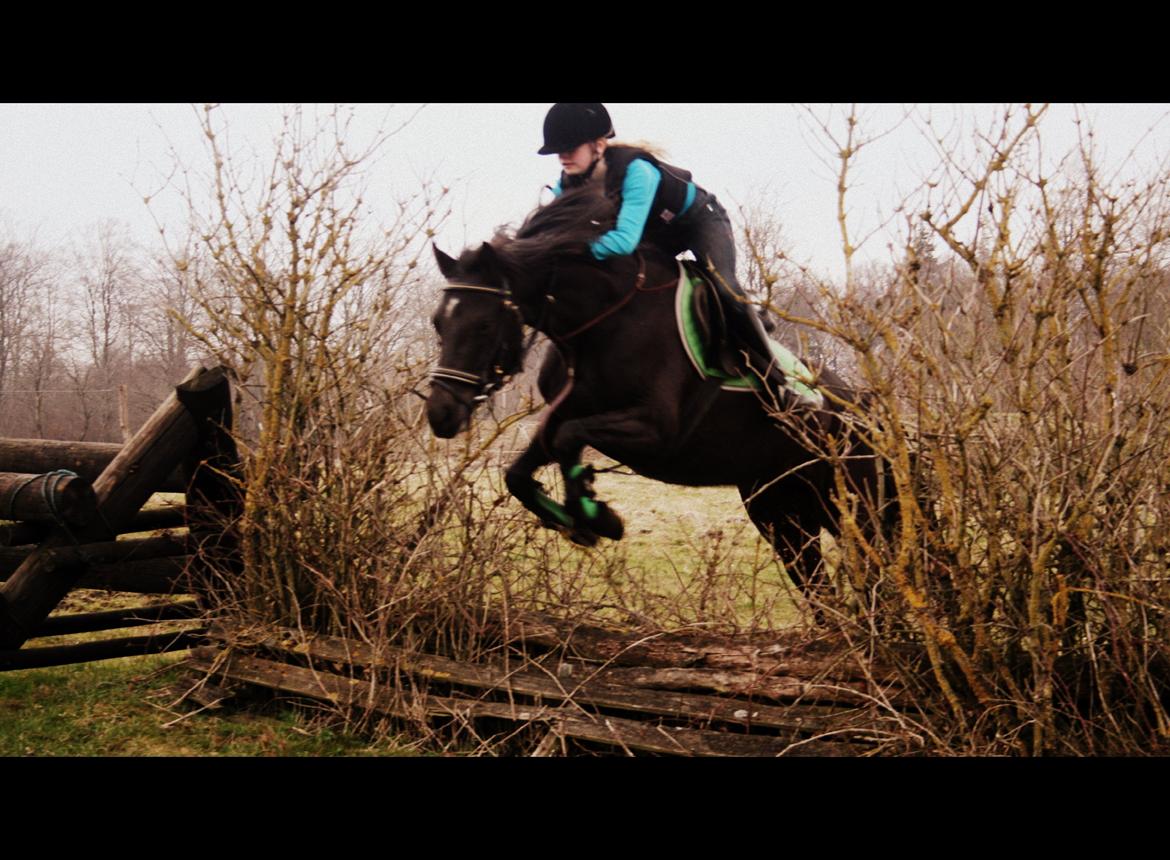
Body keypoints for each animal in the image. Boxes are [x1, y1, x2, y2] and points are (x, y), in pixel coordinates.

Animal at [425, 189, 889, 599]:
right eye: (437, 323)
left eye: (484, 325)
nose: (441, 413)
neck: (603, 321)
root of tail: (873, 413)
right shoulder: (566, 409)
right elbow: (523, 470)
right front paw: (585, 517)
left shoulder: (656, 431)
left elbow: (569, 438)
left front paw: (596, 515)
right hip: (782, 513)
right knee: (823, 594)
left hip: (857, 510)